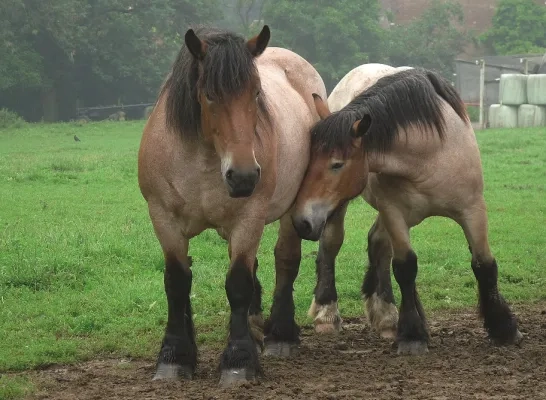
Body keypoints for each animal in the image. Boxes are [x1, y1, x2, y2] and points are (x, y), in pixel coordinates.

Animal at [136, 26, 328, 386]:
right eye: (210, 94)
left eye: (256, 93)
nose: (243, 177)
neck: (201, 158)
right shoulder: (163, 218)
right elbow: (177, 282)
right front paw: (174, 356)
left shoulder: (248, 218)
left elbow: (238, 283)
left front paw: (238, 361)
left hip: (291, 208)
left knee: (286, 260)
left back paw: (280, 335)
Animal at [292, 66, 520, 356]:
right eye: (308, 160)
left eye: (337, 164)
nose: (302, 221)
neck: (430, 154)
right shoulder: (395, 213)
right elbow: (405, 267)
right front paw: (412, 334)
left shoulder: (472, 210)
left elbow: (484, 264)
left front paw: (504, 328)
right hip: (341, 208)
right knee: (332, 246)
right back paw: (328, 313)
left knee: (377, 243)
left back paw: (386, 316)